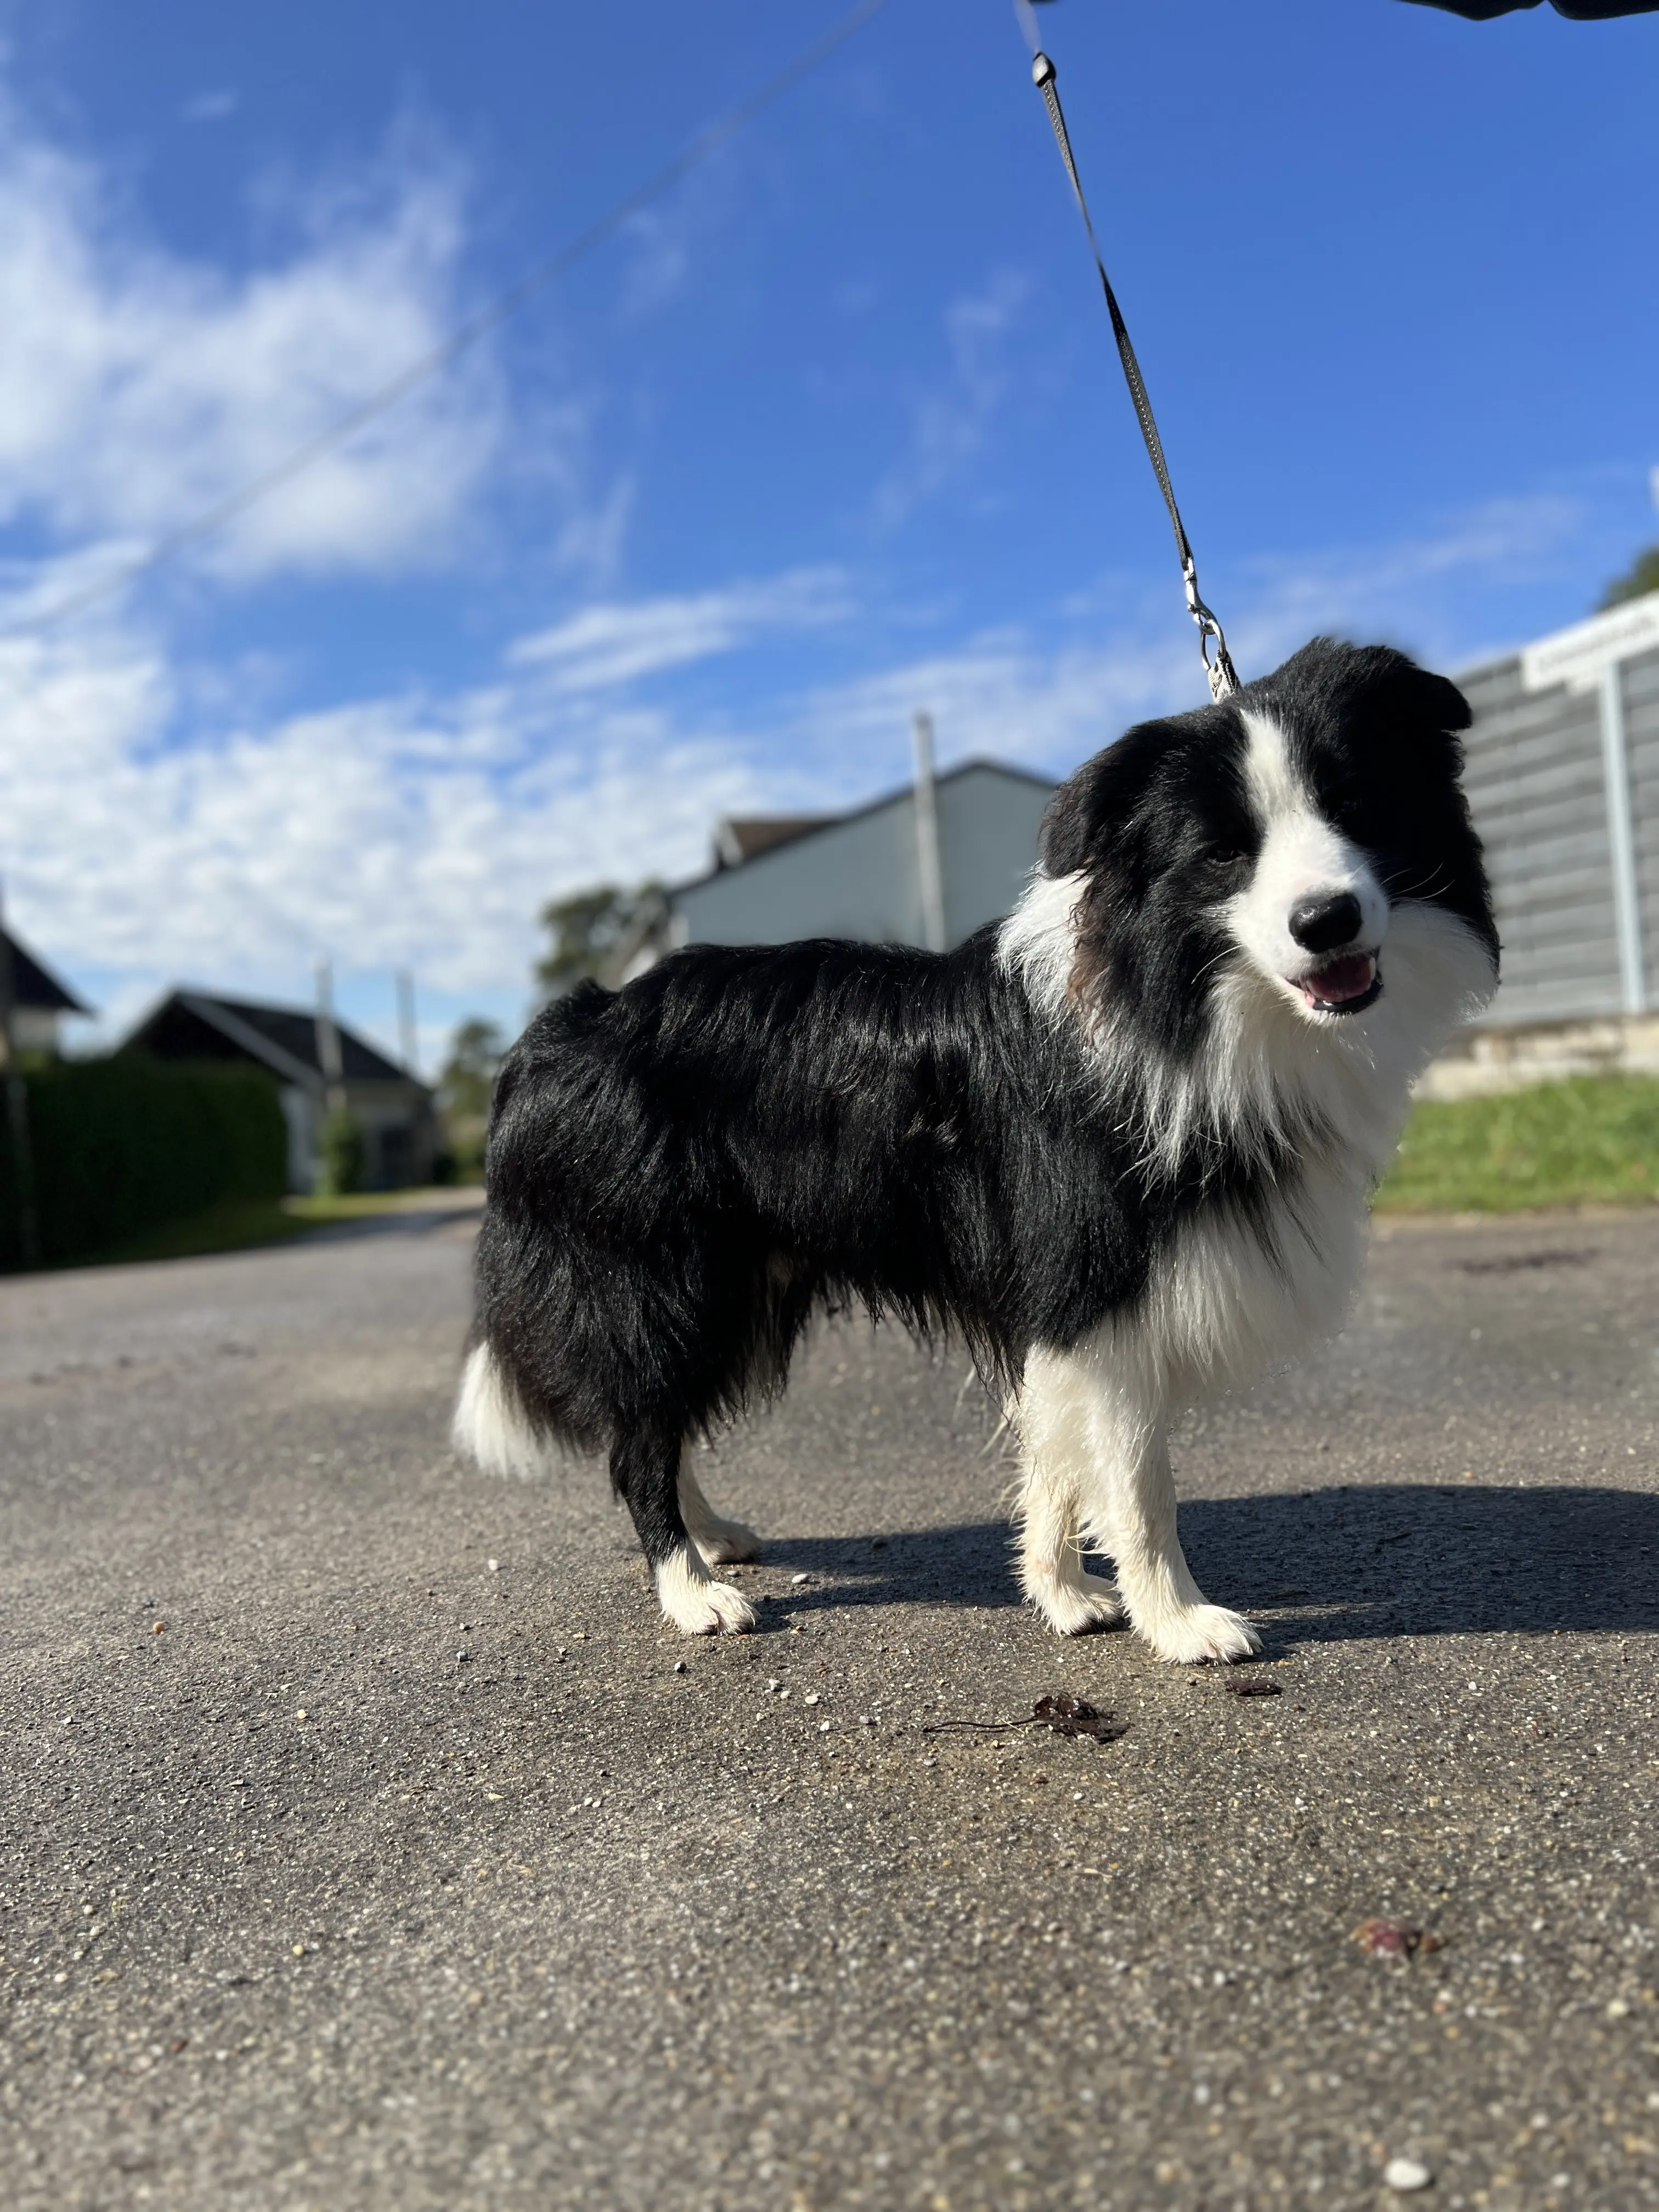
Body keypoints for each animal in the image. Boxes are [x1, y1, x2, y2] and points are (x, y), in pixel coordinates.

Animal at [458, 641, 1504, 1663]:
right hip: (661, 1279)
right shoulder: (1089, 1276)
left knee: (662, 1424)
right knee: (637, 1439)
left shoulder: (1060, 1306)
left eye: (1357, 807)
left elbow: (1054, 1459)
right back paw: (690, 1590)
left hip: (739, 1284)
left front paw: (1062, 1595)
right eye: (1222, 853)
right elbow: (1137, 1484)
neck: (1173, 998)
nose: (1326, 920)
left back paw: (711, 1537)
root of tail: (562, 1028)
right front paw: (1178, 1622)